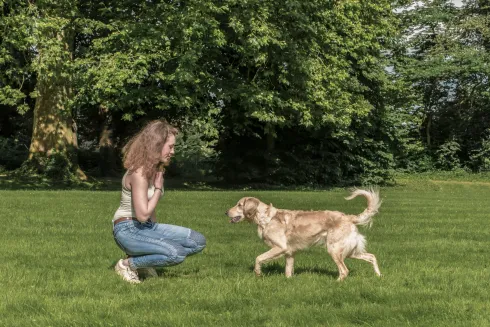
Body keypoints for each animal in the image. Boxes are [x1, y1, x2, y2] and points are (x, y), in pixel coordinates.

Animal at [226, 190, 382, 282]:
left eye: (239, 205)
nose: (226, 212)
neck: (267, 218)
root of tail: (349, 217)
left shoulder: (280, 247)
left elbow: (258, 258)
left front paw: (258, 273)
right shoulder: (289, 253)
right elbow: (288, 271)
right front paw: (288, 281)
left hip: (334, 250)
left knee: (344, 270)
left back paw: (336, 283)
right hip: (349, 251)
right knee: (372, 256)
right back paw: (379, 275)